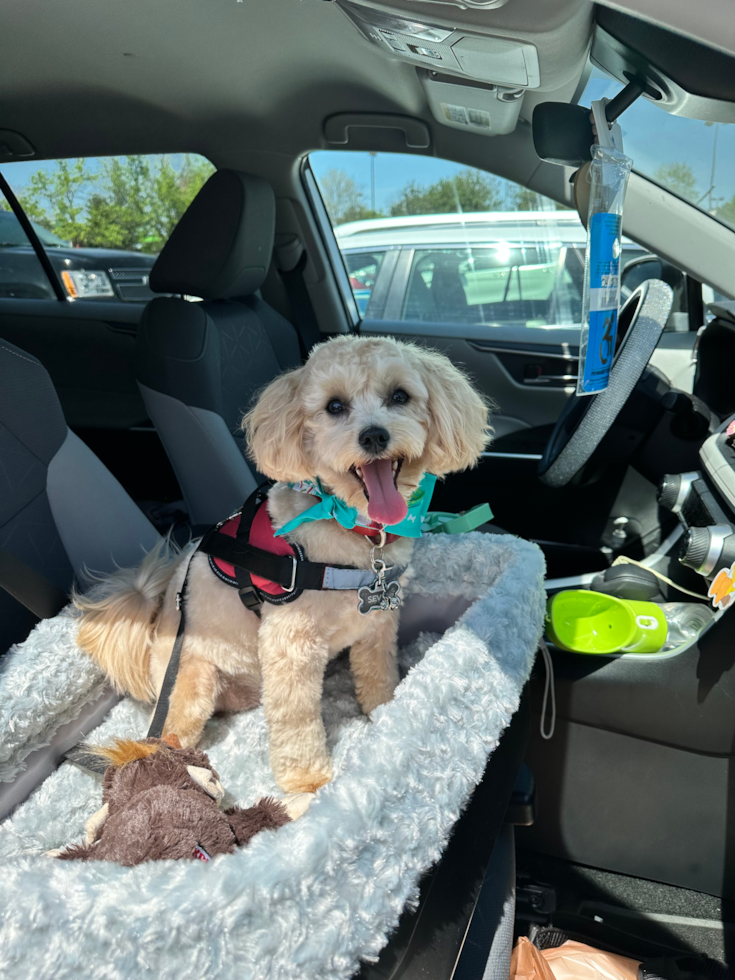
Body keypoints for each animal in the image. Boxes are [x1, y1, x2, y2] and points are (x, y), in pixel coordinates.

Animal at [75, 336, 492, 796]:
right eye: (334, 406)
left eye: (400, 396)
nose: (374, 435)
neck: (350, 528)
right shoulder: (290, 644)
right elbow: (296, 719)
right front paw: (308, 782)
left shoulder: (378, 626)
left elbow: (378, 674)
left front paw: (388, 713)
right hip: (190, 681)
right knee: (168, 737)